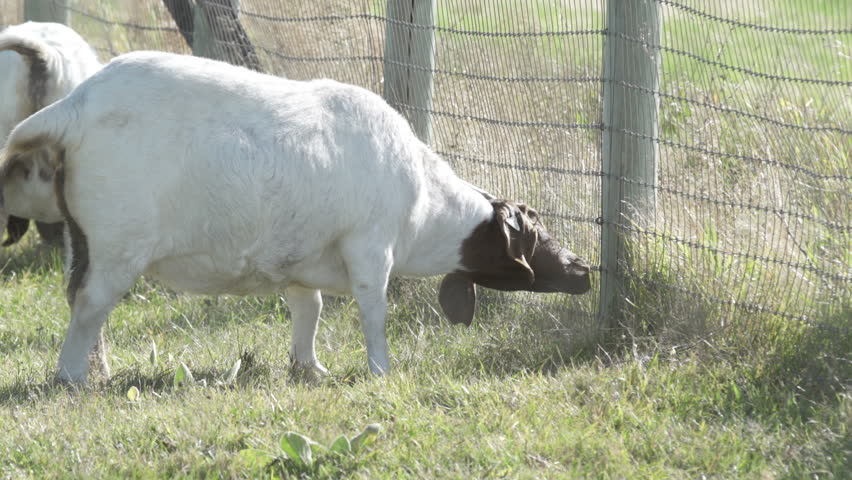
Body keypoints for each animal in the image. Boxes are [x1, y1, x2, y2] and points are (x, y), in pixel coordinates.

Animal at [0, 51, 591, 383]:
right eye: (532, 228)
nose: (582, 268)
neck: (425, 212)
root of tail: (75, 106)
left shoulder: (300, 264)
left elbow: (310, 310)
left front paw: (310, 368)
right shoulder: (370, 247)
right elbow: (372, 313)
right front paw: (381, 372)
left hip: (82, 237)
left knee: (78, 298)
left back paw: (96, 371)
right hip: (118, 240)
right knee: (90, 304)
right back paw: (71, 378)